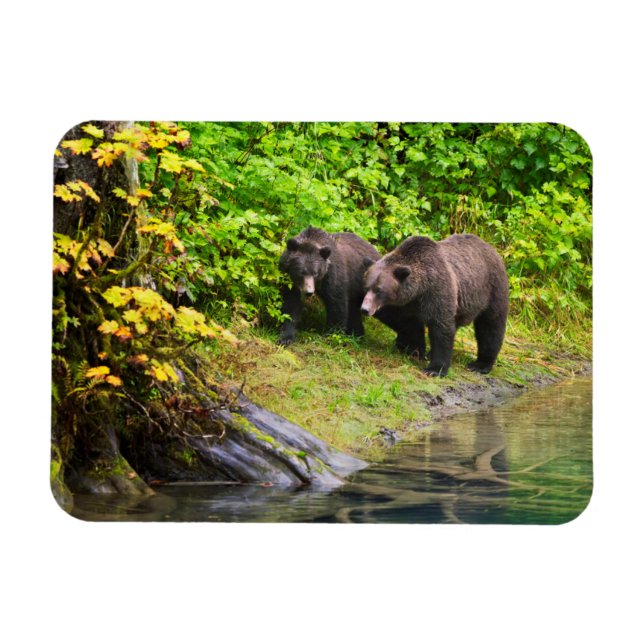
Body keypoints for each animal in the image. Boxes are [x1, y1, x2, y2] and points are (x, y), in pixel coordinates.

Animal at [278, 225, 426, 353]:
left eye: (315, 273)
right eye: (301, 272)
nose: (309, 292)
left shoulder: (334, 276)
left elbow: (336, 305)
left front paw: (332, 336)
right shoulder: (288, 279)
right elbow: (291, 304)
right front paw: (285, 337)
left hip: (380, 291)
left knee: (396, 313)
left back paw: (414, 347)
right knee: (355, 313)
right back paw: (357, 335)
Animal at [361, 234, 509, 376]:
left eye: (379, 290)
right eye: (367, 287)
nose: (365, 309)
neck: (419, 289)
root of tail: (491, 248)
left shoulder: (437, 291)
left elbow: (440, 328)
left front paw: (435, 369)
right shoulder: (403, 304)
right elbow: (405, 323)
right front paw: (414, 348)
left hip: (492, 289)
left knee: (491, 326)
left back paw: (481, 364)